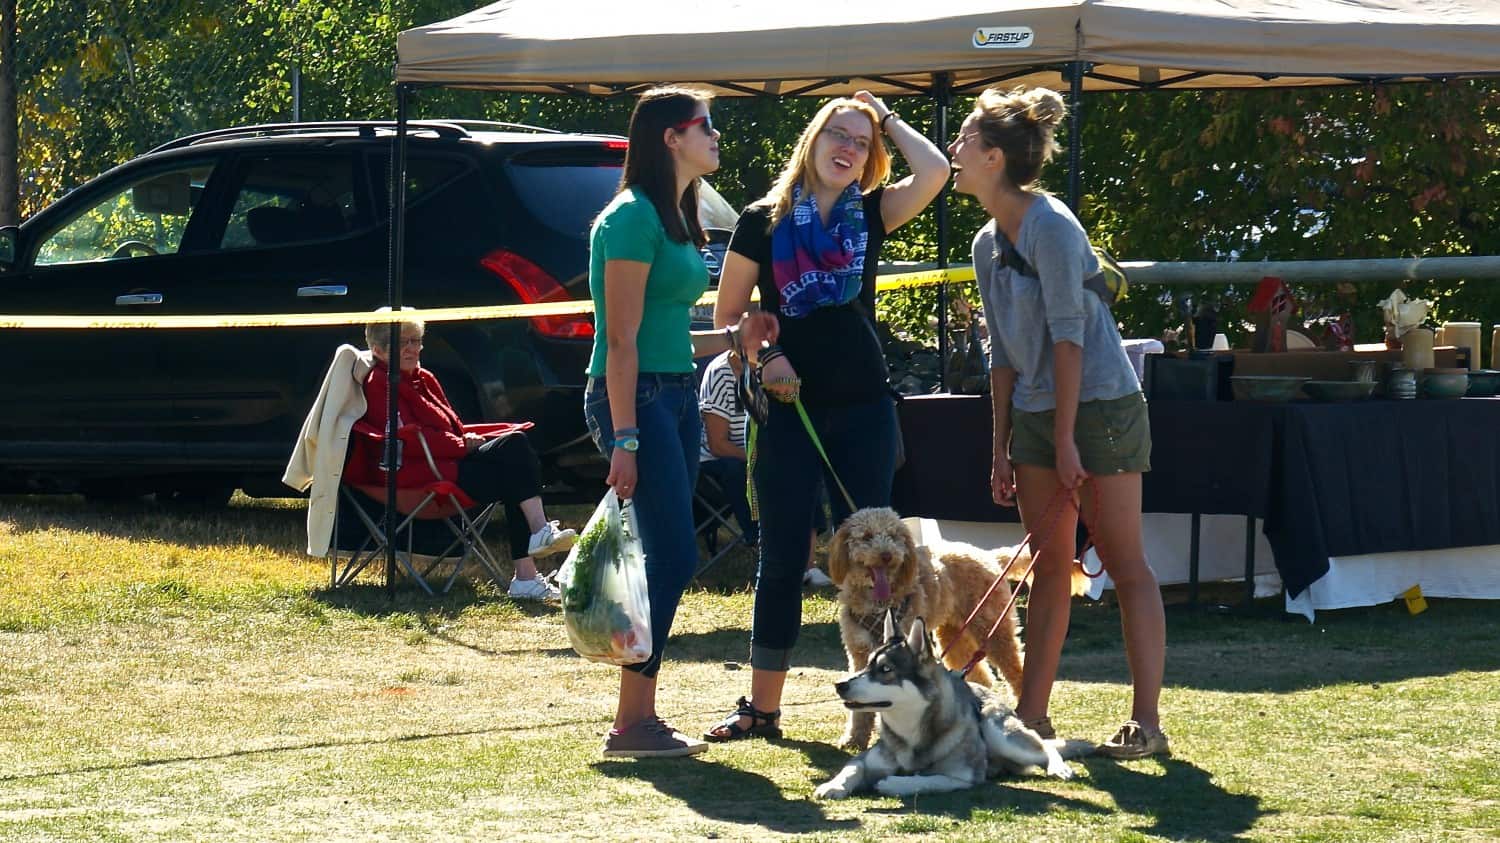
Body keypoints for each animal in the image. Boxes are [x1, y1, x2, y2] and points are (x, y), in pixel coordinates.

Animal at [816, 609, 1086, 792]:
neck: (913, 733)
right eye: (867, 666)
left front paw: (894, 783)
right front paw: (832, 786)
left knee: (1045, 746)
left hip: (998, 732)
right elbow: (851, 769)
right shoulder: (863, 759)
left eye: (885, 670)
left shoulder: (963, 777)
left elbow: (926, 780)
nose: (840, 685)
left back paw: (1058, 767)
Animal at [828, 504, 1086, 747]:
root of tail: (989, 556)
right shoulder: (859, 652)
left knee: (1015, 669)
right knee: (980, 676)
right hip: (955, 632)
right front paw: (854, 738)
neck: (879, 603)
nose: (886, 555)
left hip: (992, 626)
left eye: (893, 536)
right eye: (866, 536)